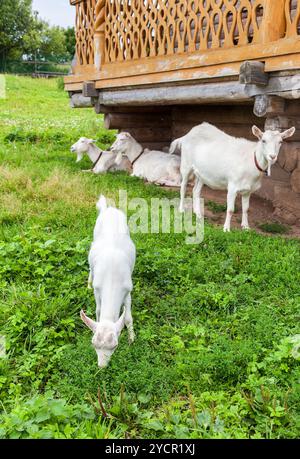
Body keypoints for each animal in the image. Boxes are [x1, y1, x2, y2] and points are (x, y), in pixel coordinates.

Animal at [80, 196, 135, 368]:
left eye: (115, 345)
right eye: (93, 344)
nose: (102, 366)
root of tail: (108, 209)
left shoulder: (128, 290)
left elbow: (128, 317)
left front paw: (132, 338)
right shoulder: (98, 291)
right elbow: (98, 310)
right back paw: (88, 283)